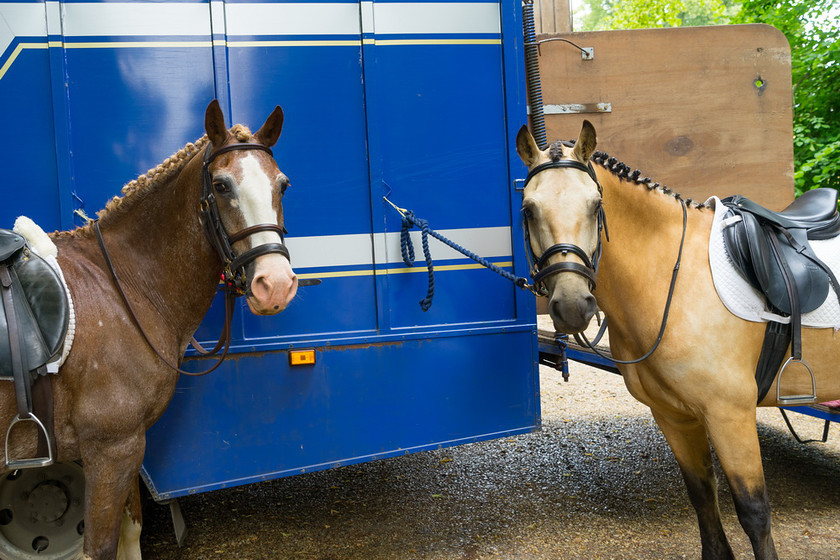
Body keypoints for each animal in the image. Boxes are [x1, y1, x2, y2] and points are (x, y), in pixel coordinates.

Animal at [0, 100, 298, 560]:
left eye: (281, 185)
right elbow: (102, 546)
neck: (121, 285)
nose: (276, 285)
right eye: (221, 185)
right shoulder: (111, 449)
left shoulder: (129, 446)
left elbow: (131, 530)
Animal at [520, 122, 840, 560]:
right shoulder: (674, 416)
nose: (572, 305)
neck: (675, 278)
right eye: (527, 209)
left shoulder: (730, 416)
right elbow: (703, 498)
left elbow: (755, 514)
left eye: (595, 205)